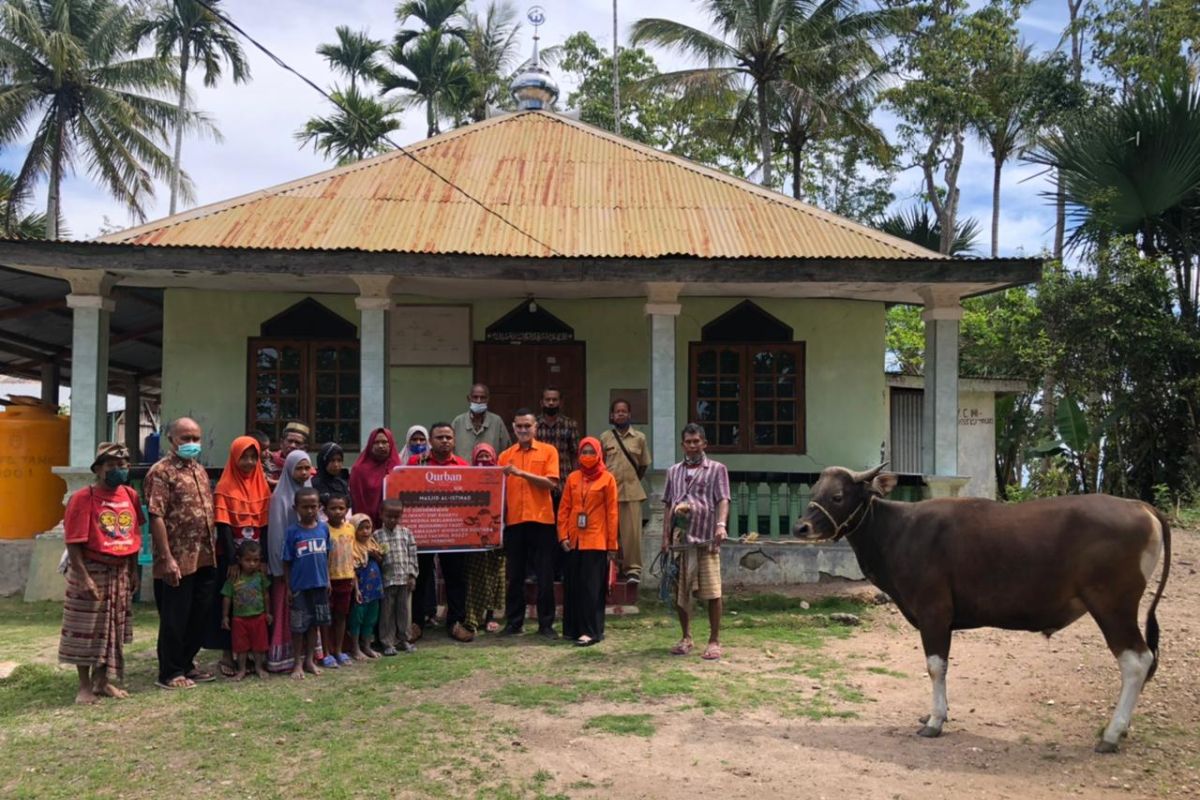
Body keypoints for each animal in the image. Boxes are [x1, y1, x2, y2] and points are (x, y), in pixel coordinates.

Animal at [796, 465, 1171, 753]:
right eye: (814, 489)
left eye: (837, 496)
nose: (801, 526)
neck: (899, 531)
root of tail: (1141, 507)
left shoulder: (934, 613)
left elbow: (935, 667)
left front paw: (935, 720)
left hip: (1113, 606)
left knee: (1136, 661)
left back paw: (1112, 733)